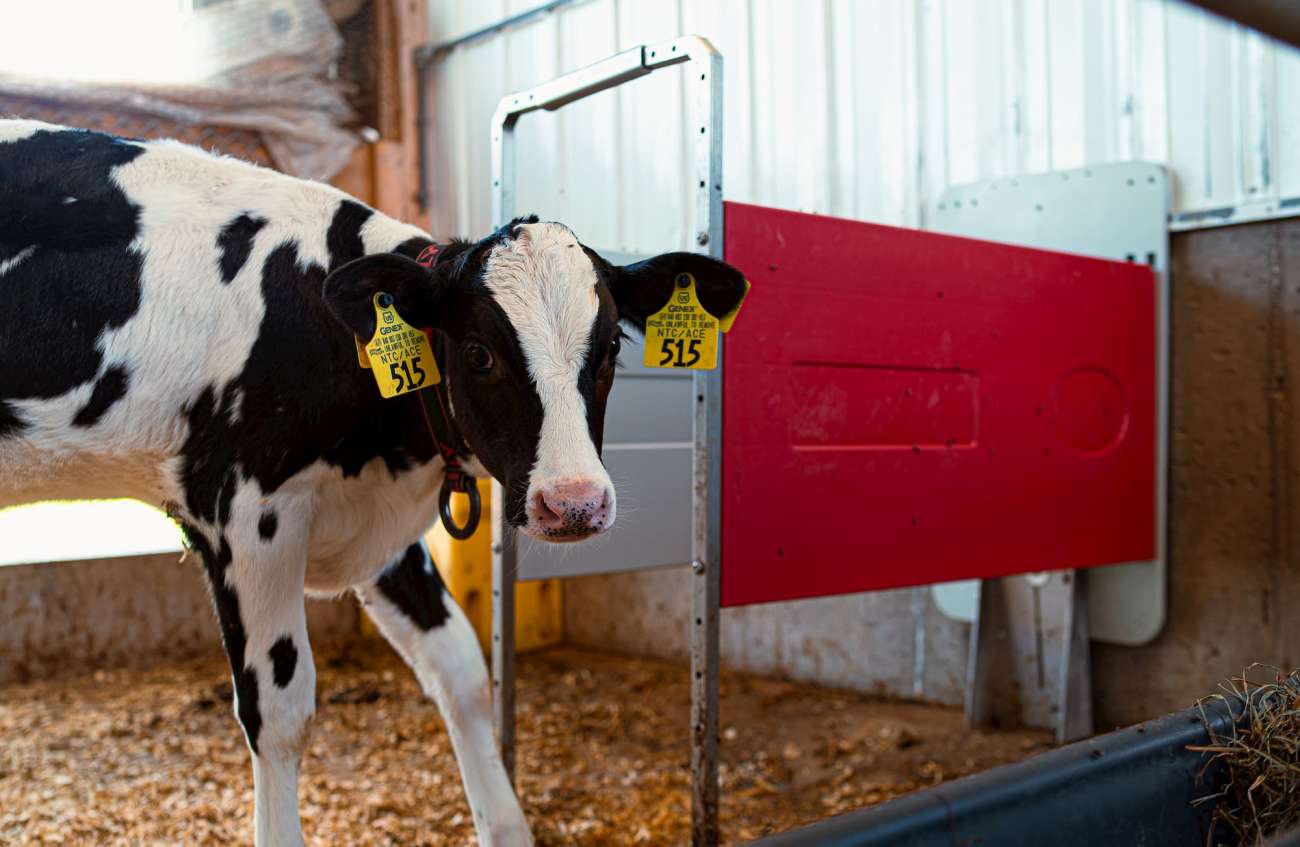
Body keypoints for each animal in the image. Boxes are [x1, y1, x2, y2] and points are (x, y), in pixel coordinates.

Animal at [0, 120, 748, 847]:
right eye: (478, 353)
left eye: (613, 348)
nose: (575, 502)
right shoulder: (244, 510)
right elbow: (280, 710)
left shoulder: (378, 522)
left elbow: (462, 671)